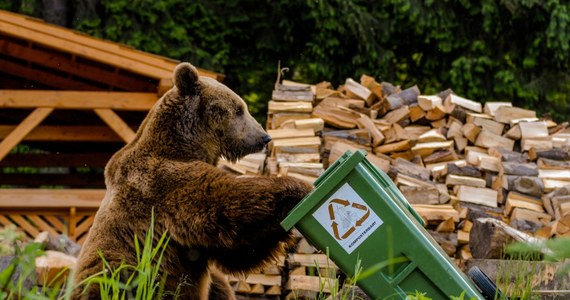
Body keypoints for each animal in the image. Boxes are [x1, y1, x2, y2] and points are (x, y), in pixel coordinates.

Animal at [72, 62, 312, 298]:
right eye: (239, 109)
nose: (264, 137)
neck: (186, 144)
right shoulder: (165, 184)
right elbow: (226, 206)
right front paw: (299, 187)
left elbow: (238, 251)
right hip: (122, 274)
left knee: (219, 285)